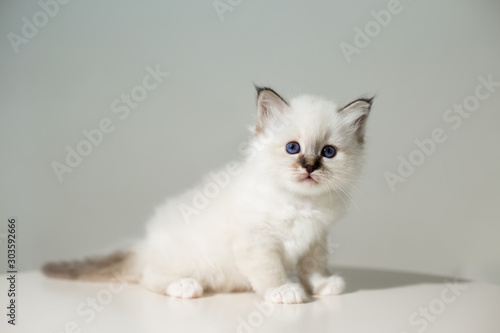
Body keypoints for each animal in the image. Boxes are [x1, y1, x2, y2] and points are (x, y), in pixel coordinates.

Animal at [44, 87, 372, 304]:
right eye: (293, 148)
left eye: (328, 152)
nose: (309, 166)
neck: (301, 202)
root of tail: (144, 244)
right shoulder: (257, 241)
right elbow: (270, 271)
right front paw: (284, 291)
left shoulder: (315, 239)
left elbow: (313, 268)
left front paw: (323, 285)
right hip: (185, 261)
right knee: (150, 277)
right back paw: (185, 287)